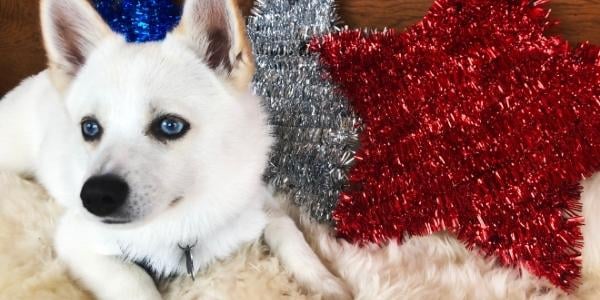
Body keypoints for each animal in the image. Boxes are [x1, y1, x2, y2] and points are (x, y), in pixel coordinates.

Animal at [0, 0, 352, 298]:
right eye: (90, 128)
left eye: (170, 125)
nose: (94, 196)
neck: (185, 219)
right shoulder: (78, 241)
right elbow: (135, 280)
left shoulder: (258, 202)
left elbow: (287, 229)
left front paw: (324, 281)